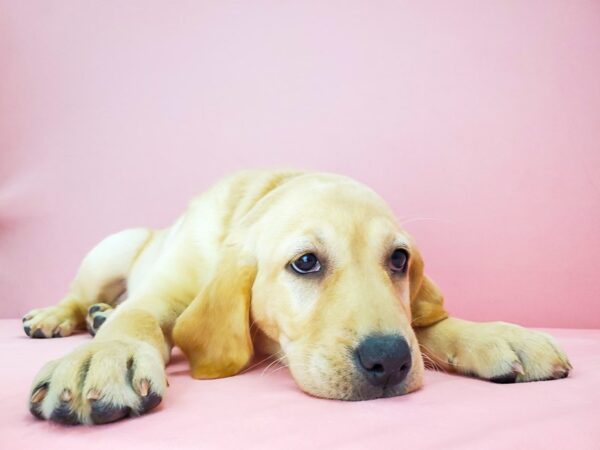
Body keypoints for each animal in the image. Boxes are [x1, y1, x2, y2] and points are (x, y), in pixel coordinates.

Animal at [21, 171, 568, 424]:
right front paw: (103, 358)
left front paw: (498, 336)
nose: (389, 361)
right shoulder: (159, 293)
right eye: (305, 262)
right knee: (84, 296)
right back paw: (65, 316)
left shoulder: (407, 320)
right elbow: (135, 319)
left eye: (399, 260)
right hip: (112, 250)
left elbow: (426, 325)